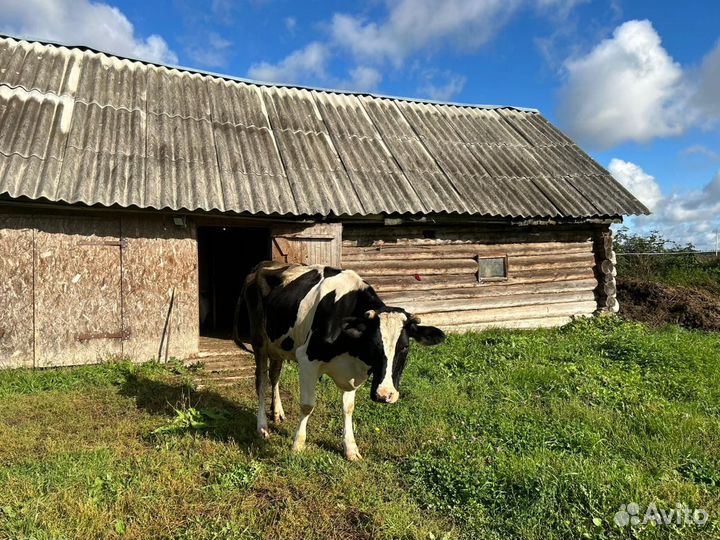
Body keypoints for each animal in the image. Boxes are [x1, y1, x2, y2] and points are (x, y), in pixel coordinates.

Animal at [234, 261, 445, 461]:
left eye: (405, 347)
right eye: (373, 343)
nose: (384, 395)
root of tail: (263, 265)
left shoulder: (352, 372)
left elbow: (348, 408)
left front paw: (350, 449)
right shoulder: (307, 359)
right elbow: (307, 405)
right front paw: (298, 445)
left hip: (279, 344)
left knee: (274, 375)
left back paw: (277, 412)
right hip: (259, 341)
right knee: (261, 382)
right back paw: (262, 427)